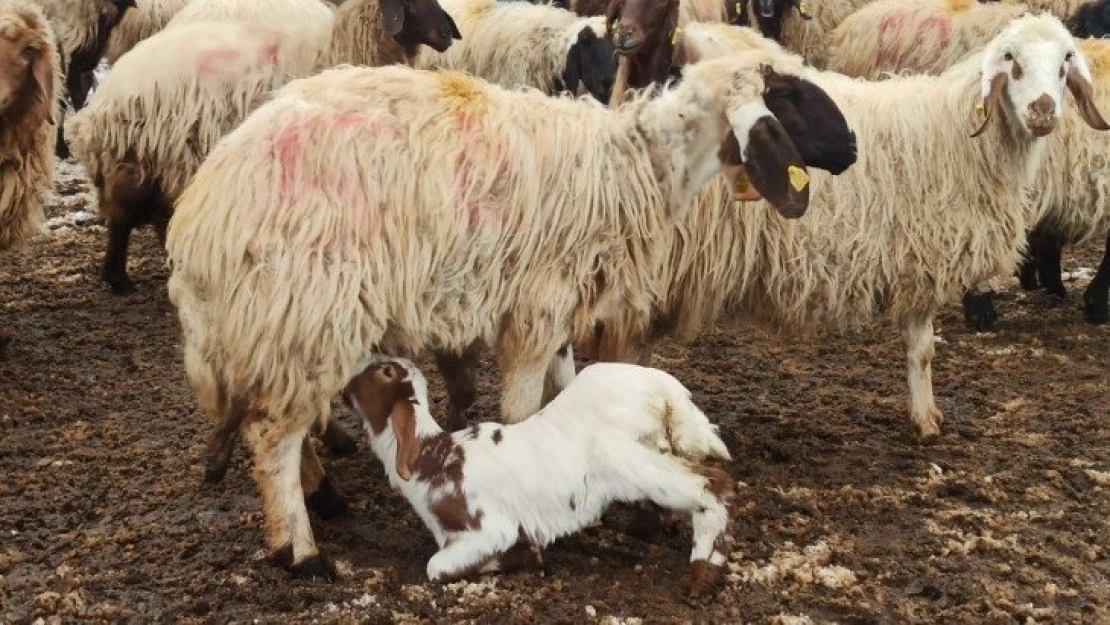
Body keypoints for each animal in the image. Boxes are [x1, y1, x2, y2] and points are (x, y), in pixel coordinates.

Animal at [160, 54, 848, 577]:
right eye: (786, 96)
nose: (850, 150)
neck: (634, 167)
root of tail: (200, 216)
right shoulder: (537, 306)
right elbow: (524, 412)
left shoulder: (560, 310)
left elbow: (570, 389)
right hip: (306, 310)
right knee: (272, 436)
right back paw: (299, 550)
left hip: (283, 327)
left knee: (277, 420)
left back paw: (322, 496)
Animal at [830, 0, 1110, 328]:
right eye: (1010, 57)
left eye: (1067, 59)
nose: (1043, 111)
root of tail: (851, 26)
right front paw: (1094, 303)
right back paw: (982, 311)